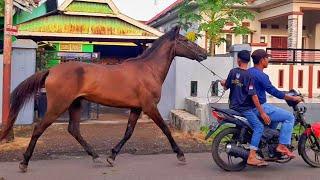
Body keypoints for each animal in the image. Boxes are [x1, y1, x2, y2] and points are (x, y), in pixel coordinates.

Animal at [0, 26, 208, 172]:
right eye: (185, 40)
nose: (204, 53)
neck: (148, 70)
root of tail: (51, 70)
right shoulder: (149, 107)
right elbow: (165, 129)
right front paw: (180, 155)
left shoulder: (136, 108)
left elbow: (128, 132)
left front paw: (111, 156)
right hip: (58, 105)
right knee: (39, 129)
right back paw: (24, 162)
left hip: (75, 104)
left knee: (74, 129)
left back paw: (96, 156)